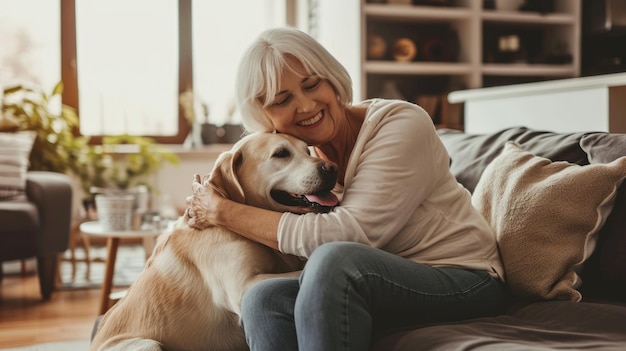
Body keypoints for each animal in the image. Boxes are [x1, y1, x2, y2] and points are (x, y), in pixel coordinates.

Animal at [89, 133, 336, 351]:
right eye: (281, 153)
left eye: (307, 150)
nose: (332, 168)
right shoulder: (243, 286)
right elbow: (298, 271)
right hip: (148, 344)